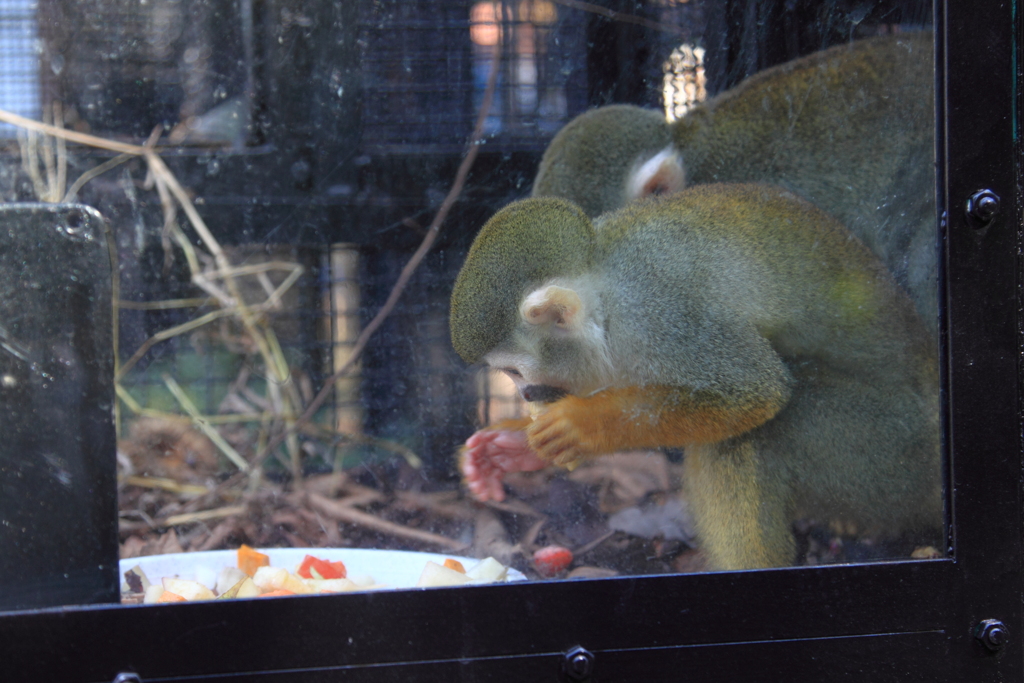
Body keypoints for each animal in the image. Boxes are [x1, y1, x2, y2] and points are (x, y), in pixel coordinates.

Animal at [452, 185, 937, 573]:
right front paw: (515, 445)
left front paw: (583, 425)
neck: (606, 298)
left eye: (513, 372)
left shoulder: (663, 314)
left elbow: (755, 391)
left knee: (753, 437)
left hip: (889, 452)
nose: (526, 393)